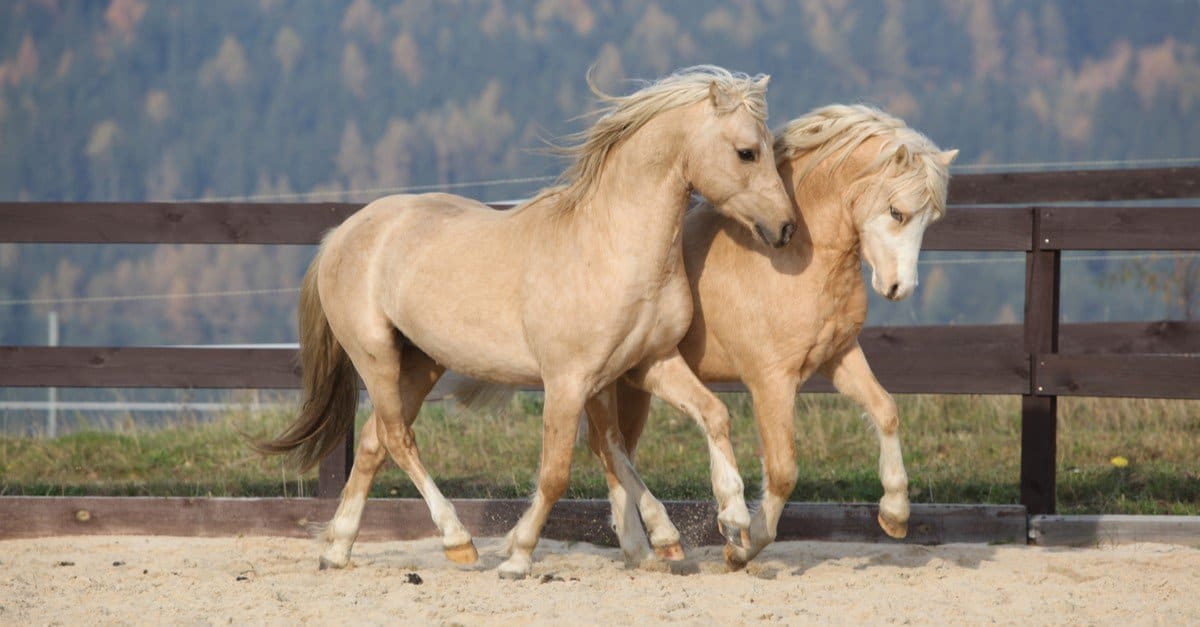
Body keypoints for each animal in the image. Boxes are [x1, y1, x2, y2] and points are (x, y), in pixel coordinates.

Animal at [258, 66, 795, 579]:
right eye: (747, 152)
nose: (786, 228)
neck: (609, 244)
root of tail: (341, 234)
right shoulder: (566, 381)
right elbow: (559, 472)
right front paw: (517, 556)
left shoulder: (645, 364)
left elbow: (687, 423)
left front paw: (723, 522)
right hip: (375, 356)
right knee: (397, 438)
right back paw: (458, 542)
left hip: (421, 362)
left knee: (373, 442)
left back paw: (338, 550)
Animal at [583, 104, 958, 568]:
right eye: (896, 212)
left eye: (930, 219)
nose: (898, 288)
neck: (795, 259)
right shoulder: (771, 383)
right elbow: (782, 472)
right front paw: (741, 546)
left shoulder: (838, 356)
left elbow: (886, 410)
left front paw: (894, 513)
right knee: (609, 449)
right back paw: (653, 542)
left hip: (633, 388)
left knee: (615, 452)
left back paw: (641, 548)